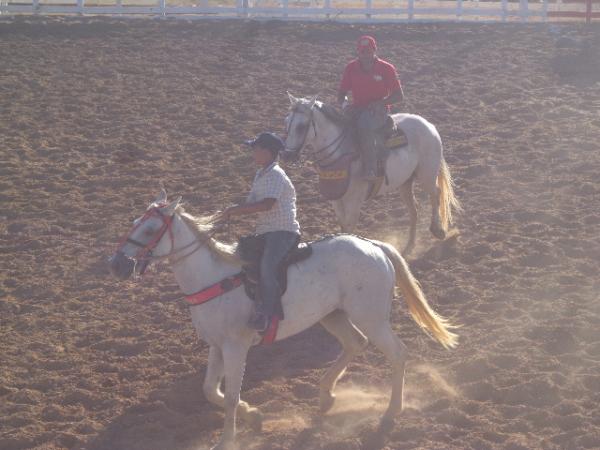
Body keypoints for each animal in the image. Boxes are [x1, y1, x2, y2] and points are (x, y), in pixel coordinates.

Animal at [110, 190, 458, 450]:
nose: (118, 264)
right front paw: (254, 416)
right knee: (355, 343)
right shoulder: (216, 346)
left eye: (150, 230)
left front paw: (227, 440)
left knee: (397, 354)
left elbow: (231, 395)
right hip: (333, 316)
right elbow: (210, 390)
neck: (213, 277)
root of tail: (374, 246)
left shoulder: (236, 347)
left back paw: (390, 413)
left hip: (371, 318)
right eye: (134, 223)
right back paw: (326, 397)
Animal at [284, 94, 462, 256]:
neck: (342, 155)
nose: (287, 155)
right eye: (287, 122)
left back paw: (438, 230)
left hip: (427, 174)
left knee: (436, 194)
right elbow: (342, 224)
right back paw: (409, 247)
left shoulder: (354, 200)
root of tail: (428, 125)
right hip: (405, 182)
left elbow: (349, 226)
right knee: (414, 211)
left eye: (301, 126)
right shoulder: (337, 199)